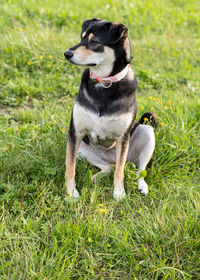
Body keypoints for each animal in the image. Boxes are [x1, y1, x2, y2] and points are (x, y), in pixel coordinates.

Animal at [64, 18, 158, 199]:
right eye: (81, 38)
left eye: (95, 42)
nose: (66, 53)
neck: (104, 82)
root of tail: (110, 158)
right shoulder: (75, 133)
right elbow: (70, 167)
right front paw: (71, 193)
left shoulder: (122, 138)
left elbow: (120, 172)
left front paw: (119, 193)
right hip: (82, 150)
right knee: (109, 167)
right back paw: (96, 176)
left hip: (147, 133)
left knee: (137, 169)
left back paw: (142, 185)